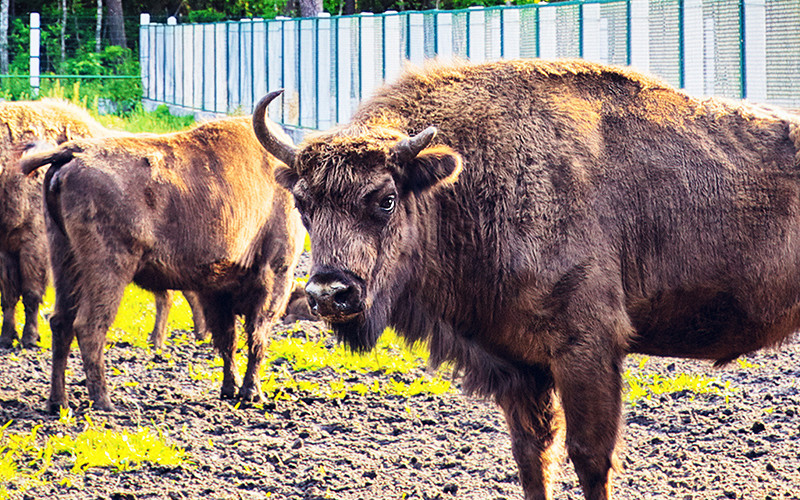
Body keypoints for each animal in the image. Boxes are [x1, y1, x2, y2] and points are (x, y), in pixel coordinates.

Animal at [0, 99, 208, 350]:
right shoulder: (6, 247)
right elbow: (9, 295)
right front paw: (6, 337)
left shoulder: (32, 241)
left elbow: (30, 292)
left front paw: (29, 338)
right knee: (175, 292)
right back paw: (179, 336)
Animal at [21, 115, 304, 412]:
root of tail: (72, 153)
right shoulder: (274, 275)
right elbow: (256, 336)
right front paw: (252, 393)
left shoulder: (216, 290)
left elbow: (228, 339)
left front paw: (230, 389)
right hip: (108, 268)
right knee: (89, 325)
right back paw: (105, 402)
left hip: (64, 259)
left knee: (60, 322)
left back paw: (58, 402)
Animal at [253, 59, 800, 500]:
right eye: (303, 203)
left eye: (385, 199)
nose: (328, 293)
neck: (466, 186)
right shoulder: (518, 367)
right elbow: (532, 457)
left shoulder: (586, 349)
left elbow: (589, 456)